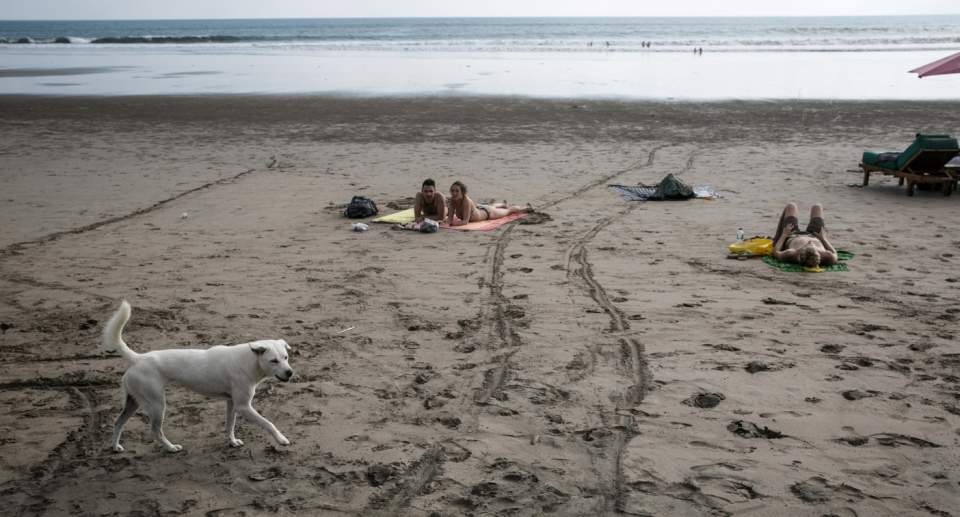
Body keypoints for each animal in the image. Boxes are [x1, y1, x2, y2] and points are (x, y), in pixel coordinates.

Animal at [103, 298, 294, 452]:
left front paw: (232, 442)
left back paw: (115, 447)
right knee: (154, 431)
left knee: (118, 422)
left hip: (133, 401)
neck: (249, 361)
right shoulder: (243, 406)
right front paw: (281, 439)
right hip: (157, 405)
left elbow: (230, 425)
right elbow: (268, 423)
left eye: (286, 357)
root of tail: (137, 358)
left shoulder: (232, 403)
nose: (290, 373)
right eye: (273, 361)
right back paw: (171, 448)